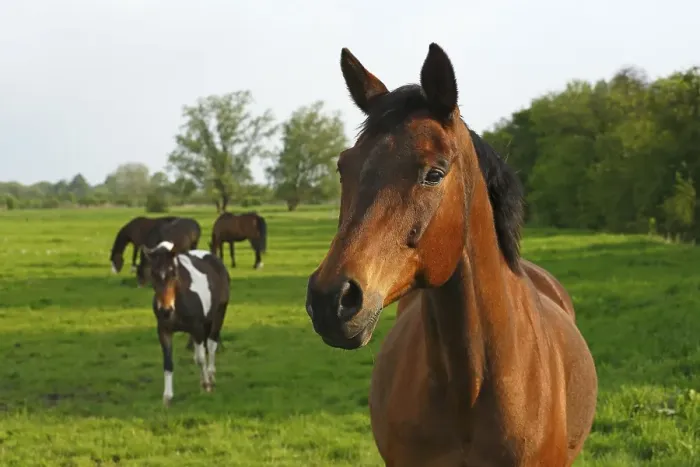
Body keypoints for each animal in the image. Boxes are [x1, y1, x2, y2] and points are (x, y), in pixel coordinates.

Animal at [141, 241, 230, 406]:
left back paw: (210, 376)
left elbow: (200, 358)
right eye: (153, 274)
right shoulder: (164, 331)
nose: (165, 310)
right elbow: (168, 363)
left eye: (173, 273)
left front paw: (207, 385)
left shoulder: (197, 329)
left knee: (211, 345)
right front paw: (167, 397)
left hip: (219, 315)